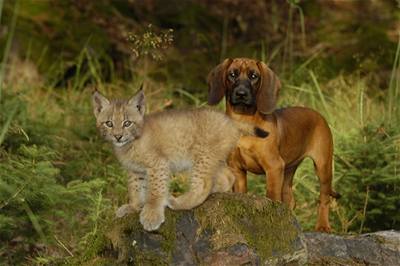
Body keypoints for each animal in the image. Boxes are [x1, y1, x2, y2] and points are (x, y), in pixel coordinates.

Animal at [92, 89, 258, 231]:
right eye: (109, 123)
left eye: (127, 123)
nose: (118, 136)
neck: (128, 144)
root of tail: (229, 118)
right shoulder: (135, 170)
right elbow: (135, 188)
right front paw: (133, 207)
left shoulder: (157, 164)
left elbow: (155, 190)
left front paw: (152, 214)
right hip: (214, 158)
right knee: (228, 176)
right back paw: (214, 190)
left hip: (202, 157)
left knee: (203, 184)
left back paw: (179, 203)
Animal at [208, 57, 340, 231]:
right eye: (232, 74)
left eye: (254, 76)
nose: (241, 94)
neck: (244, 122)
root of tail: (319, 115)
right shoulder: (237, 169)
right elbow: (242, 193)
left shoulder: (273, 166)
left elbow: (271, 196)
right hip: (288, 170)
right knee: (290, 199)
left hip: (323, 166)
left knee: (324, 198)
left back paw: (323, 226)